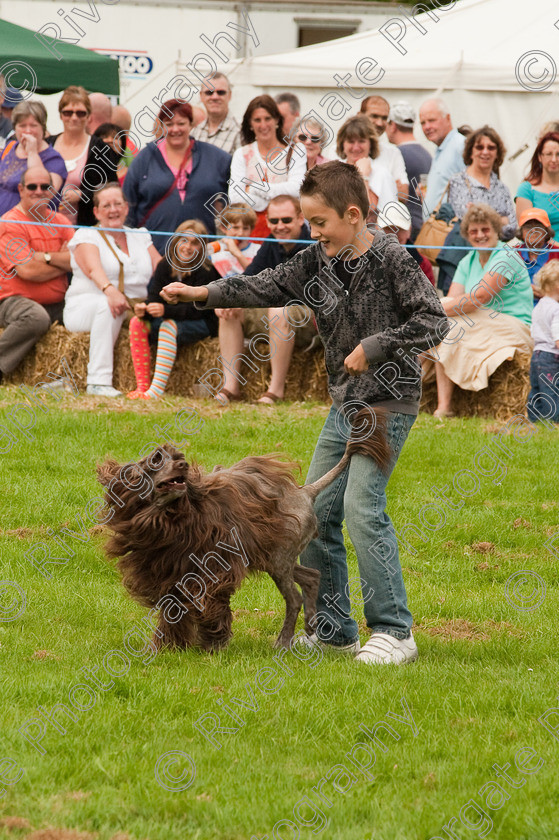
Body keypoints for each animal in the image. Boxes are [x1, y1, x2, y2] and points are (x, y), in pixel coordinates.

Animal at [97, 406, 390, 648]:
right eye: (157, 458)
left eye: (179, 456)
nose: (183, 464)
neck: (169, 519)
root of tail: (306, 492)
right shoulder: (170, 571)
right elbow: (173, 608)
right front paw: (169, 646)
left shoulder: (211, 569)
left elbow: (211, 604)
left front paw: (213, 642)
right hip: (276, 557)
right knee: (312, 576)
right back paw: (309, 623)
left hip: (278, 559)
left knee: (294, 599)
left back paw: (283, 642)